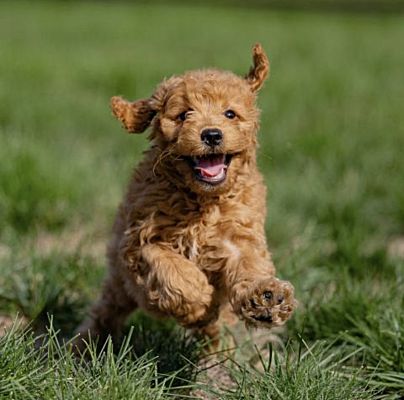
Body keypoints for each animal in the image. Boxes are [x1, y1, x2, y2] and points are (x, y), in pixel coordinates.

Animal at [75, 43, 296, 348]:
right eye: (183, 115)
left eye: (230, 114)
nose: (212, 135)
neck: (204, 201)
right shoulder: (141, 241)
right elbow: (171, 268)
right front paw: (200, 303)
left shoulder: (239, 237)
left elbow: (249, 265)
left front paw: (266, 297)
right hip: (119, 280)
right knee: (106, 310)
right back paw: (81, 346)